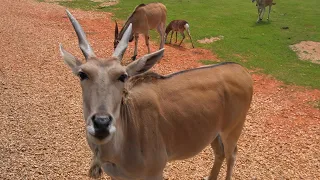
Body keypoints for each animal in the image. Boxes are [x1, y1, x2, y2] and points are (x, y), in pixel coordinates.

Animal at [60, 9, 254, 180]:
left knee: (232, 155)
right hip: (214, 132)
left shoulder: (155, 172)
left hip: (233, 129)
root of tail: (242, 70)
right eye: (82, 74)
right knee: (220, 153)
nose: (101, 123)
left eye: (123, 76)